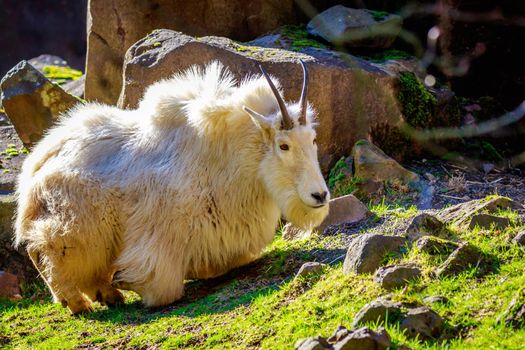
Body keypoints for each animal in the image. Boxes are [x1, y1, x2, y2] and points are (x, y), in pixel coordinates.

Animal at [14, 60, 328, 314]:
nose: (320, 195)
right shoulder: (161, 232)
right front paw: (127, 280)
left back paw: (107, 295)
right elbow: (163, 287)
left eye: (313, 139)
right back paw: (79, 301)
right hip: (75, 224)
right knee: (43, 250)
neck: (230, 158)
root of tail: (34, 168)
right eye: (283, 145)